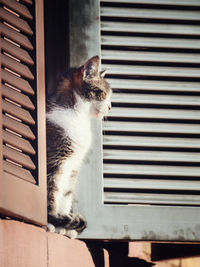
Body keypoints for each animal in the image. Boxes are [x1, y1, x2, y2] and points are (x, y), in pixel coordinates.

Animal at [46, 56, 111, 239]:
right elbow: (51, 192)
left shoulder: (72, 166)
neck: (78, 117)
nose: (110, 106)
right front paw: (51, 222)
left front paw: (63, 227)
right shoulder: (54, 162)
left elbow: (65, 195)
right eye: (103, 93)